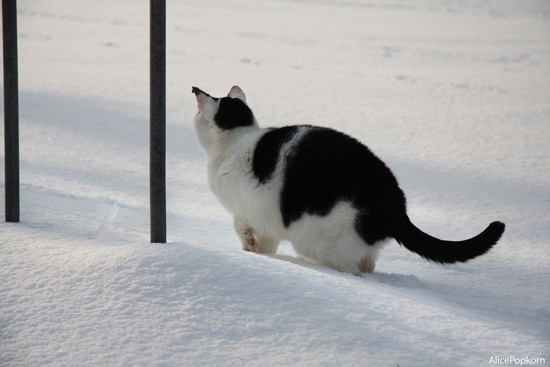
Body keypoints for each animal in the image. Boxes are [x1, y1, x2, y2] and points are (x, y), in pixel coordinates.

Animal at [192, 87, 506, 276]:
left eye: (210, 101)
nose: (195, 90)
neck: (235, 138)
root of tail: (395, 204)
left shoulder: (243, 211)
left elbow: (242, 229)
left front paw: (249, 251)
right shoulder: (268, 223)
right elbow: (267, 244)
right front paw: (262, 257)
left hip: (327, 242)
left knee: (351, 270)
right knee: (369, 264)